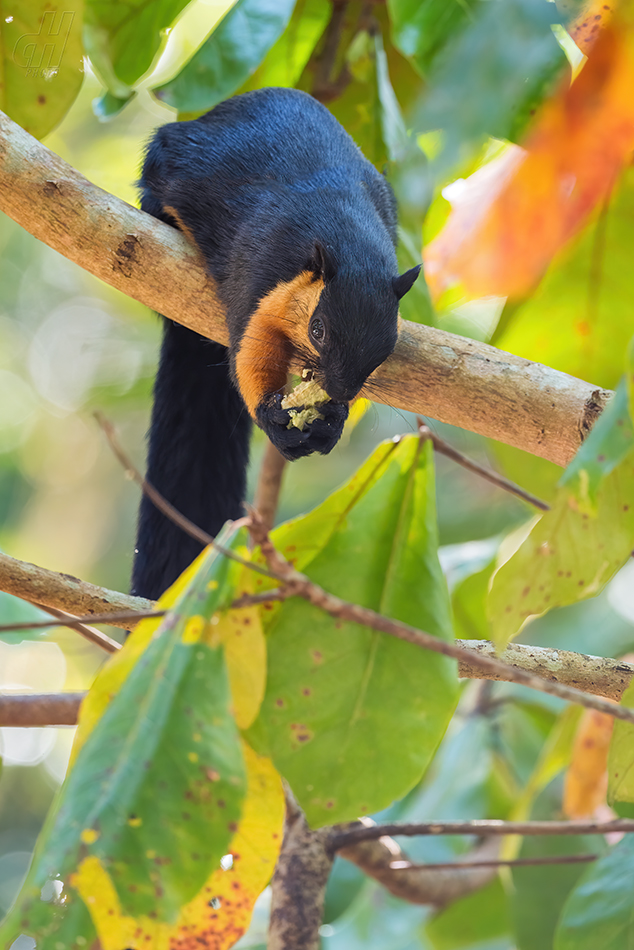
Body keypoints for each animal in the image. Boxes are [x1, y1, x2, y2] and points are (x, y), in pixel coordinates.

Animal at [131, 85, 420, 600]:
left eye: (386, 347)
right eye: (318, 329)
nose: (340, 390)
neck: (349, 240)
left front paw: (331, 422)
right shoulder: (260, 277)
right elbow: (250, 353)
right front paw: (272, 416)